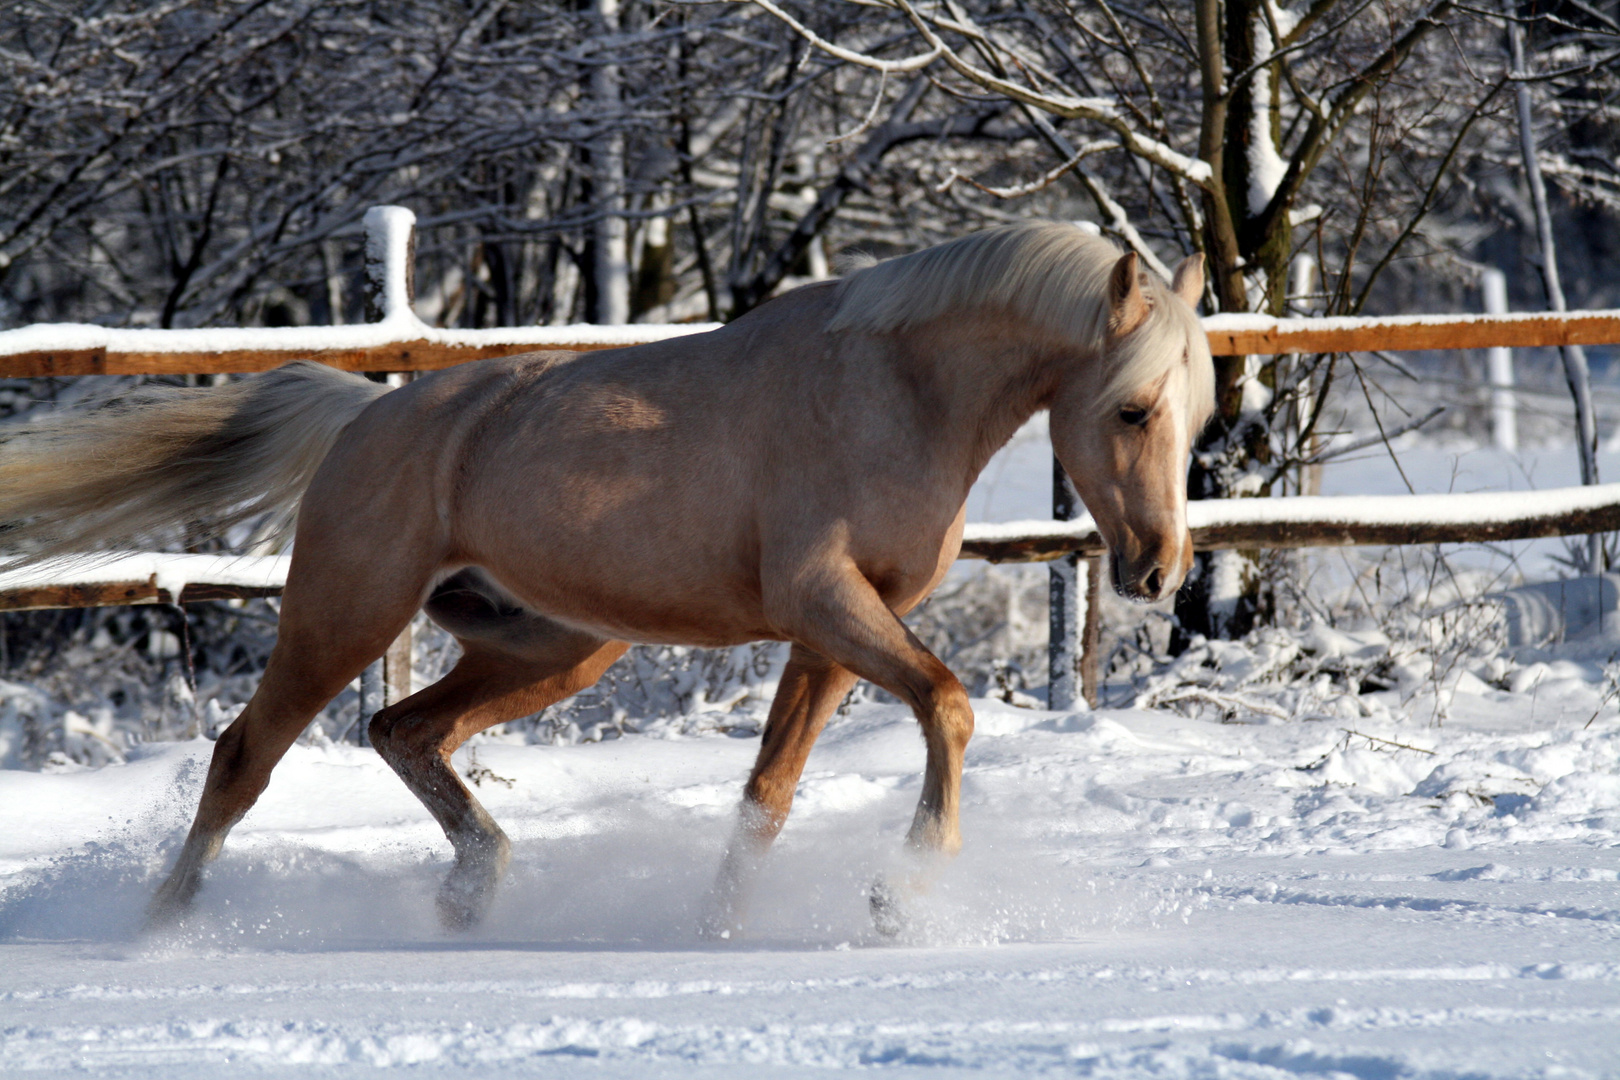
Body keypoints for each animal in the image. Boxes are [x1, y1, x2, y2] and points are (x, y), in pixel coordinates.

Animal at [0, 223, 1211, 932]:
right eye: (1131, 409)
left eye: (1195, 411)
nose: (1158, 572)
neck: (893, 393)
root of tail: (365, 415)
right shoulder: (824, 602)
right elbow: (950, 705)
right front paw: (901, 893)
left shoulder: (832, 633)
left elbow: (771, 789)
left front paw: (720, 928)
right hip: (342, 618)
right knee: (244, 758)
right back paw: (159, 927)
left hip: (553, 646)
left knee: (404, 730)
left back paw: (471, 890)